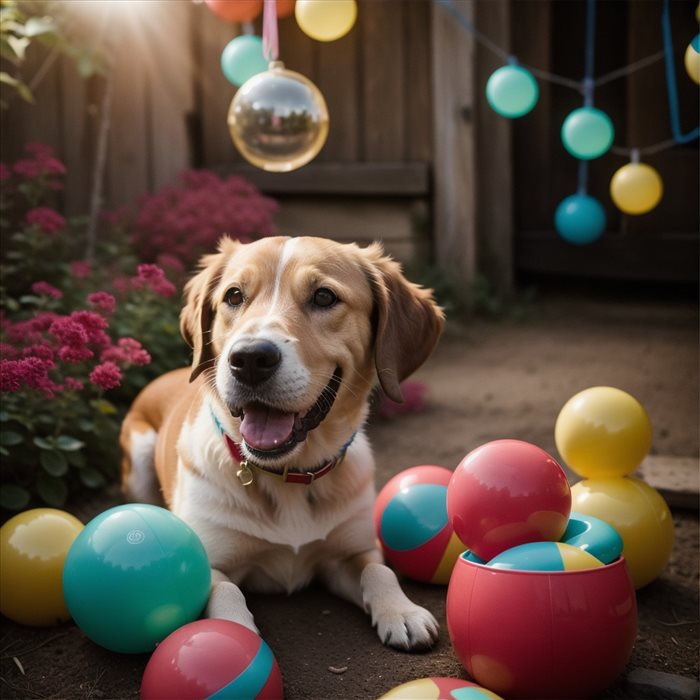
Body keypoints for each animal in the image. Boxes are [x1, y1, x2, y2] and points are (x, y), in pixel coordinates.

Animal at [120, 235, 442, 652]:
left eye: (324, 296)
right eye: (234, 295)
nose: (250, 358)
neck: (288, 476)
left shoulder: (351, 552)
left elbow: (378, 570)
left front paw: (402, 612)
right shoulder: (212, 563)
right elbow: (225, 593)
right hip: (139, 459)